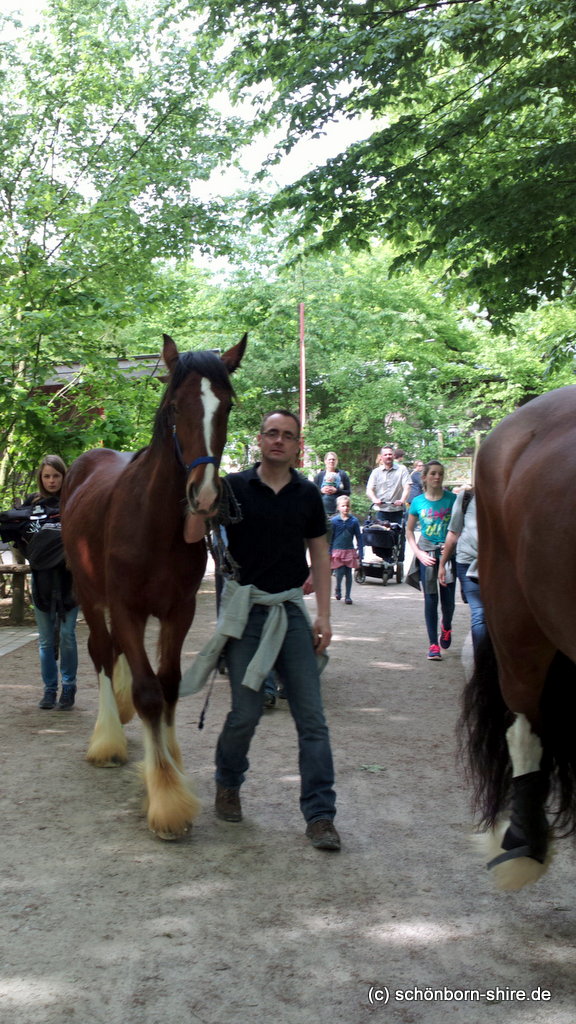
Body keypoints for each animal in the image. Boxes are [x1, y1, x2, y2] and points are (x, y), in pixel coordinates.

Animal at [60, 331, 243, 835]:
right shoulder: (124, 607)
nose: (205, 495)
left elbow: (169, 684)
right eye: (175, 406)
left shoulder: (179, 610)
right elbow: (147, 691)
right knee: (102, 653)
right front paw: (166, 799)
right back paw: (107, 740)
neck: (153, 520)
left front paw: (172, 762)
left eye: (226, 405)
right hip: (89, 596)